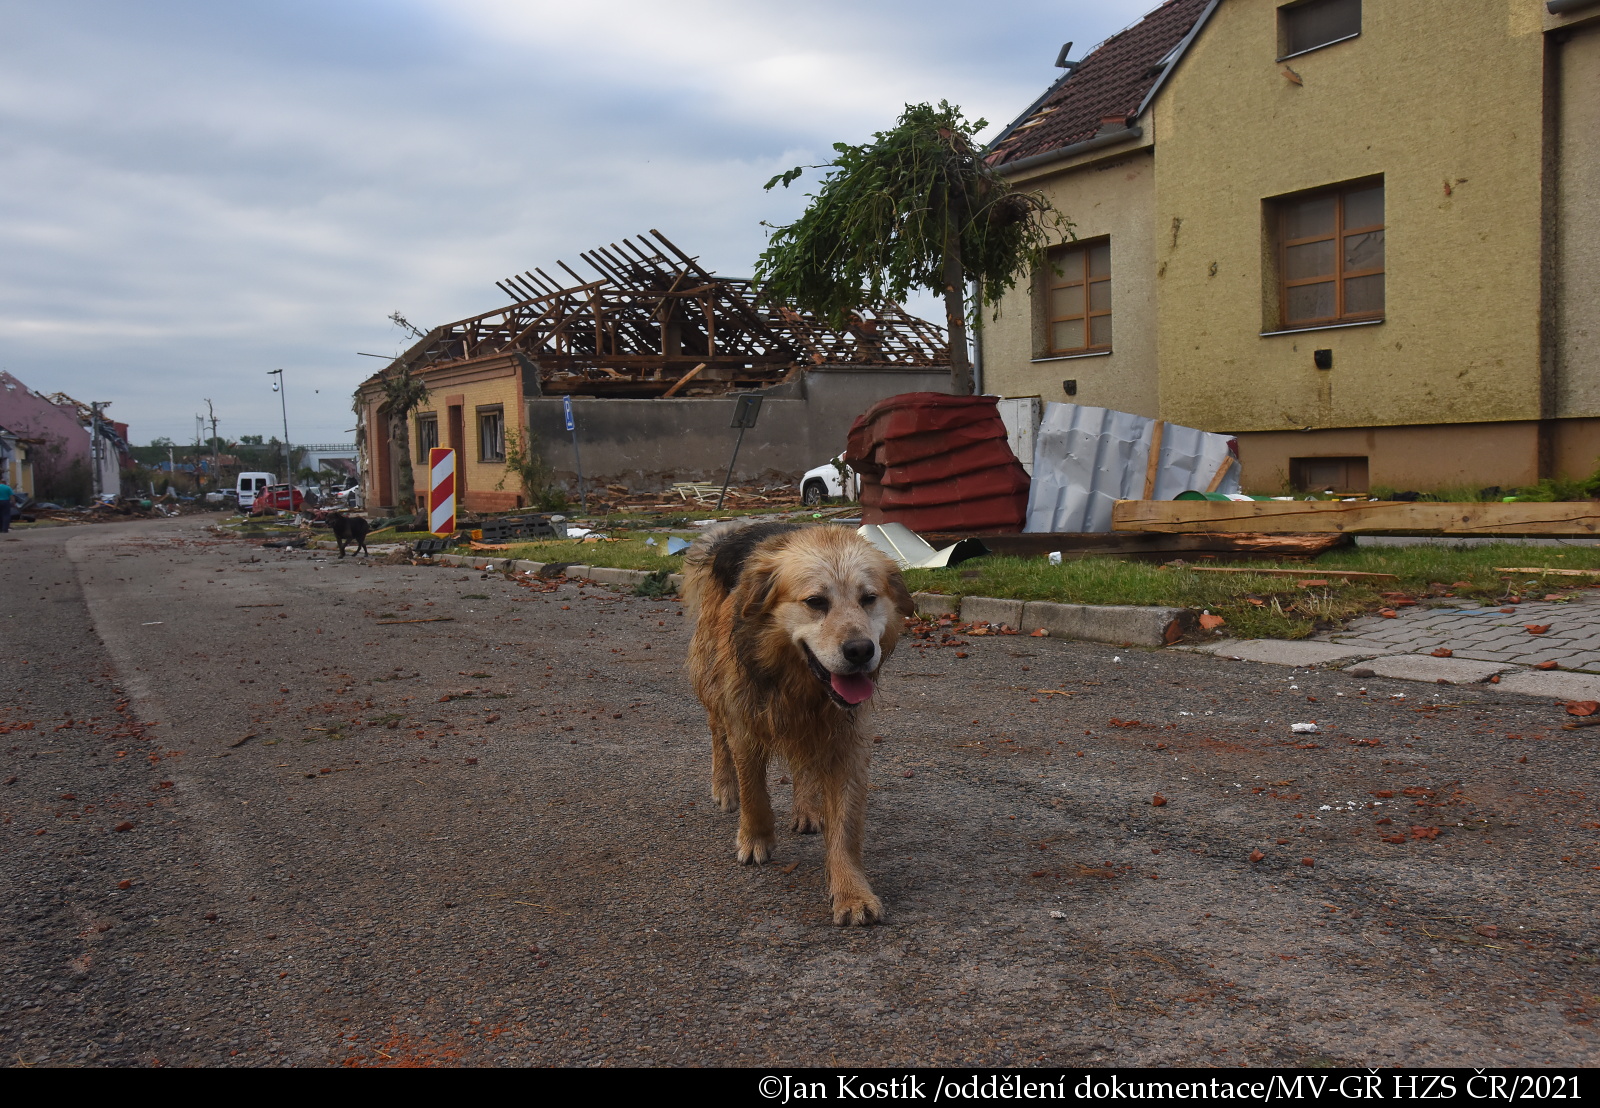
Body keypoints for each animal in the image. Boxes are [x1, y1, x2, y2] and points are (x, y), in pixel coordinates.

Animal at [681, 525, 915, 922]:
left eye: (869, 598)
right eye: (816, 602)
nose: (861, 651)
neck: (800, 686)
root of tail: (729, 534)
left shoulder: (847, 738)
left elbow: (846, 825)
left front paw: (851, 891)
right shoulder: (745, 719)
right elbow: (754, 790)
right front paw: (755, 838)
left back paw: (807, 808)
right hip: (712, 681)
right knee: (717, 733)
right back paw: (724, 787)